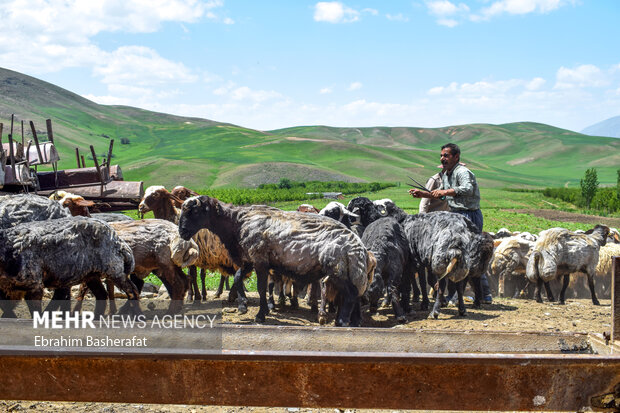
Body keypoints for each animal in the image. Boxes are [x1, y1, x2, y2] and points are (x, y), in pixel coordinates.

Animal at [0, 217, 138, 318]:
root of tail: (120, 242)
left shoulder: (34, 285)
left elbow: (36, 311)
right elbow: (6, 308)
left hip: (115, 269)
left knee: (132, 290)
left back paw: (135, 315)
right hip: (92, 274)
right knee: (102, 295)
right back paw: (96, 318)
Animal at [177, 195, 376, 326]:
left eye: (194, 211)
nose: (182, 232)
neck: (236, 223)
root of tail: (358, 247)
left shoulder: (260, 260)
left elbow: (261, 288)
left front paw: (260, 315)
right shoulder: (250, 259)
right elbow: (239, 277)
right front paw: (244, 304)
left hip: (336, 269)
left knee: (351, 293)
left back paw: (342, 321)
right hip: (349, 271)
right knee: (356, 293)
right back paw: (355, 321)